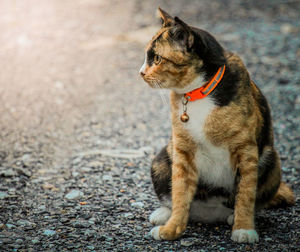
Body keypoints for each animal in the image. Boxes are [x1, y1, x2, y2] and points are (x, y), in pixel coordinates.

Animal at [139, 8, 294, 244]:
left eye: (156, 58)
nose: (140, 72)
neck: (198, 93)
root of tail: (210, 214)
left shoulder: (246, 150)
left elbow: (245, 192)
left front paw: (244, 228)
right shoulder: (182, 150)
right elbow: (180, 191)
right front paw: (172, 229)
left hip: (272, 161)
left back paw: (233, 218)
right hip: (162, 158)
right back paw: (163, 214)